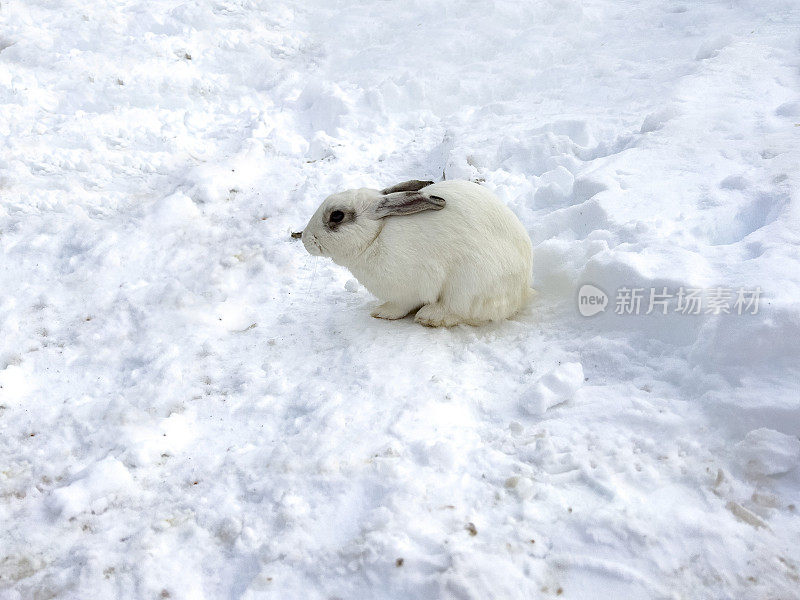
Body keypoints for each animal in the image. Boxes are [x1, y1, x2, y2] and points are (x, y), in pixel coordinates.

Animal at [300, 179, 532, 326]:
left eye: (337, 216)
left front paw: (382, 312)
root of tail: (522, 291)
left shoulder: (411, 288)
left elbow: (401, 305)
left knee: (463, 311)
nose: (304, 240)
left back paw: (430, 317)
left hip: (469, 285)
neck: (376, 236)